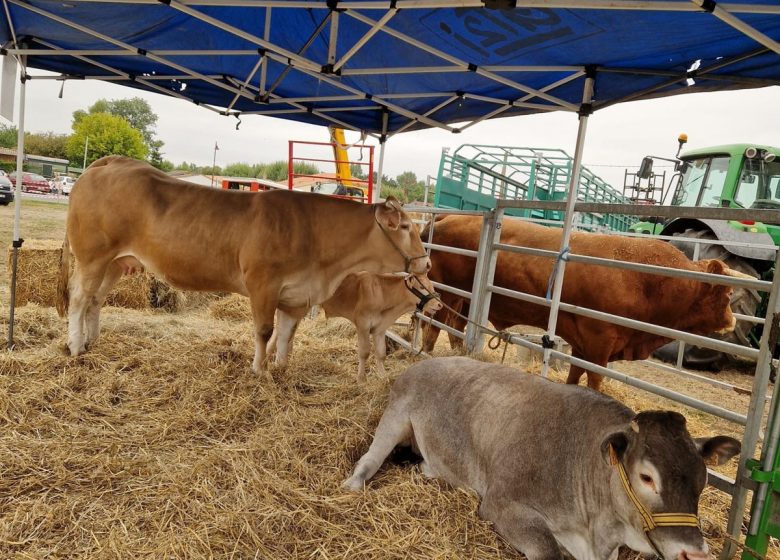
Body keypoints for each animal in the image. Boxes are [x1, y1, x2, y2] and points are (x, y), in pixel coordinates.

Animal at [268, 272, 442, 380]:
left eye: (432, 286)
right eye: (421, 287)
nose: (439, 305)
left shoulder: (380, 329)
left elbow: (381, 353)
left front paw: (383, 376)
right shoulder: (363, 324)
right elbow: (364, 352)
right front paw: (361, 379)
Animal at [344, 358, 740, 560]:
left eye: (703, 481)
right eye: (646, 477)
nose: (695, 554)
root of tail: (425, 361)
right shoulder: (502, 506)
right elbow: (548, 550)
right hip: (394, 418)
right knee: (368, 460)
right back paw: (351, 487)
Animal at [420, 214, 744, 390]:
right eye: (729, 294)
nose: (733, 321)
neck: (649, 280)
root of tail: (447, 217)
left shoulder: (582, 341)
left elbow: (575, 374)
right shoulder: (599, 340)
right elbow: (596, 378)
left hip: (462, 298)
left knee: (454, 328)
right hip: (446, 292)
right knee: (434, 326)